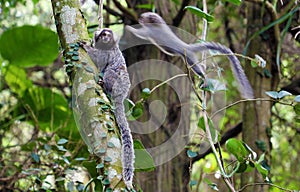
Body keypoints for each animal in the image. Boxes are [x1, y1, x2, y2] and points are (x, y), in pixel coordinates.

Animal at [81, 28, 135, 189]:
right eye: (102, 34)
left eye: (107, 34)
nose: (105, 37)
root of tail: (121, 95)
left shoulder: (108, 53)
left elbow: (99, 59)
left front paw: (86, 47)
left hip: (117, 83)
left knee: (110, 71)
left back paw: (105, 85)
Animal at [125, 12, 254, 99]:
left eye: (144, 17)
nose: (139, 18)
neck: (157, 24)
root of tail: (187, 47)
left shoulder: (149, 32)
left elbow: (140, 33)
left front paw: (128, 27)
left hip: (191, 59)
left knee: (200, 70)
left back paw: (205, 80)